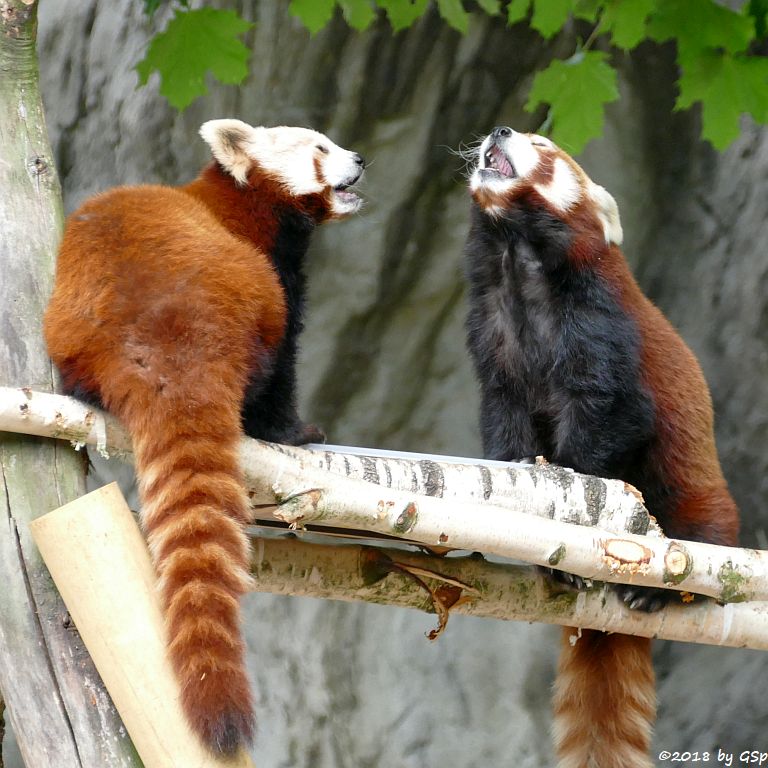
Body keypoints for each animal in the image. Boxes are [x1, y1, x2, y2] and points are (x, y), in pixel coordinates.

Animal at [43, 120, 368, 756]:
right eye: (320, 148)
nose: (360, 159)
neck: (242, 205)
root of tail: (162, 342)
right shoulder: (273, 266)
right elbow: (284, 365)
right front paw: (296, 430)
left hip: (69, 321)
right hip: (243, 290)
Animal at [462, 126, 736, 768]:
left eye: (542, 144)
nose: (501, 131)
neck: (519, 264)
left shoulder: (600, 326)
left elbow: (613, 419)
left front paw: (570, 477)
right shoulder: (494, 335)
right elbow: (504, 415)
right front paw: (514, 469)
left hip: (694, 497)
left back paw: (651, 592)